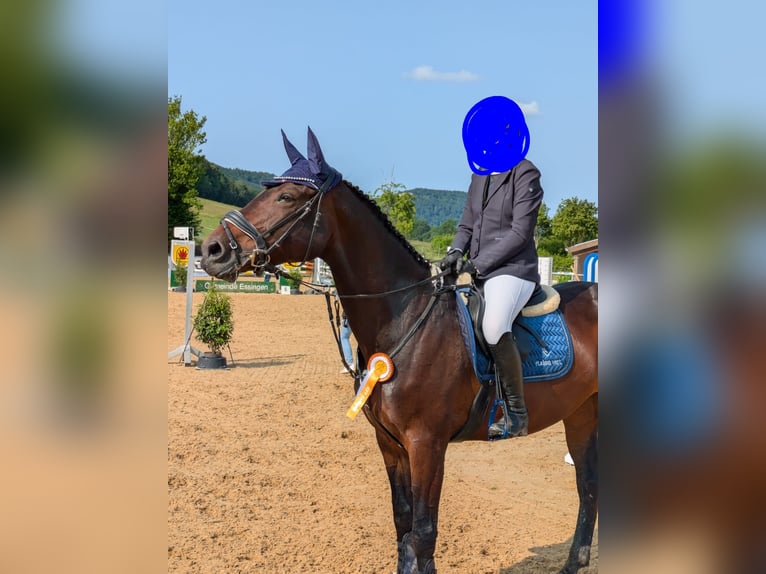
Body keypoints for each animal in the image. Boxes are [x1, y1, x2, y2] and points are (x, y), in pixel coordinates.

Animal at [200, 129, 598, 574]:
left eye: (286, 197)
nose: (212, 250)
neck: (403, 318)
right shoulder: (390, 444)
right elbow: (403, 523)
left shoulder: (426, 444)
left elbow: (423, 532)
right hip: (581, 412)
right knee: (588, 485)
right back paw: (574, 562)